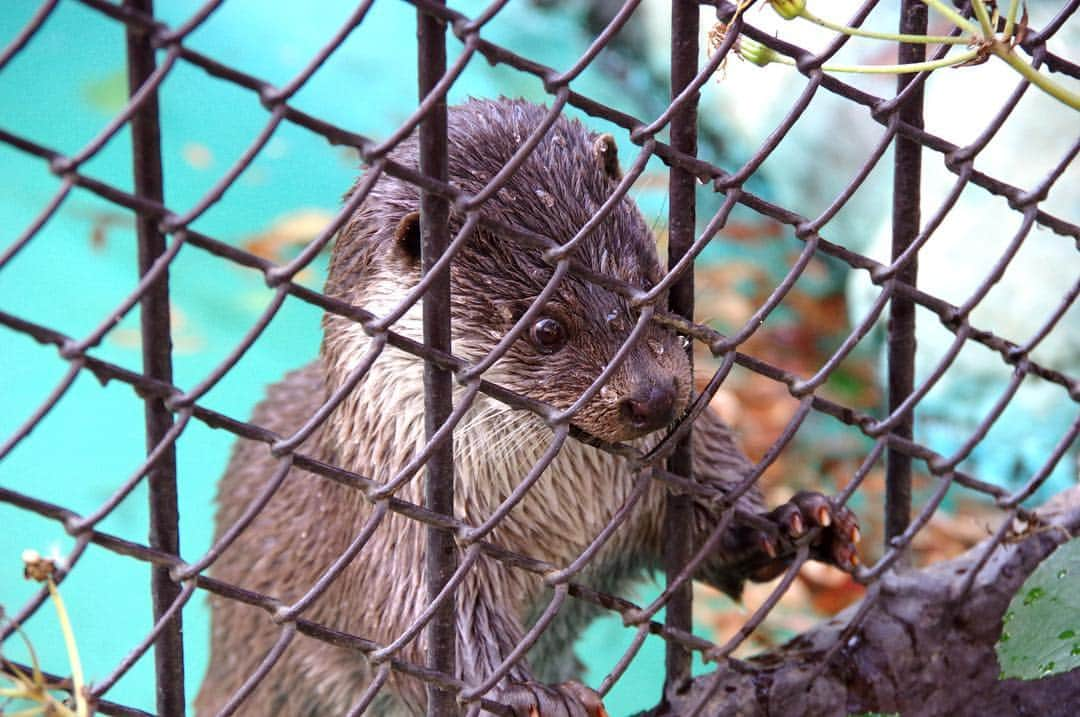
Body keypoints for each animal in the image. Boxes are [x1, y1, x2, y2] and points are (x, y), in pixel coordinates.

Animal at [196, 96, 859, 717]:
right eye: (546, 329)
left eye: (647, 280)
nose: (655, 397)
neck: (570, 514)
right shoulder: (402, 528)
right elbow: (428, 631)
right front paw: (531, 695)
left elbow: (711, 527)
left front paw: (792, 522)